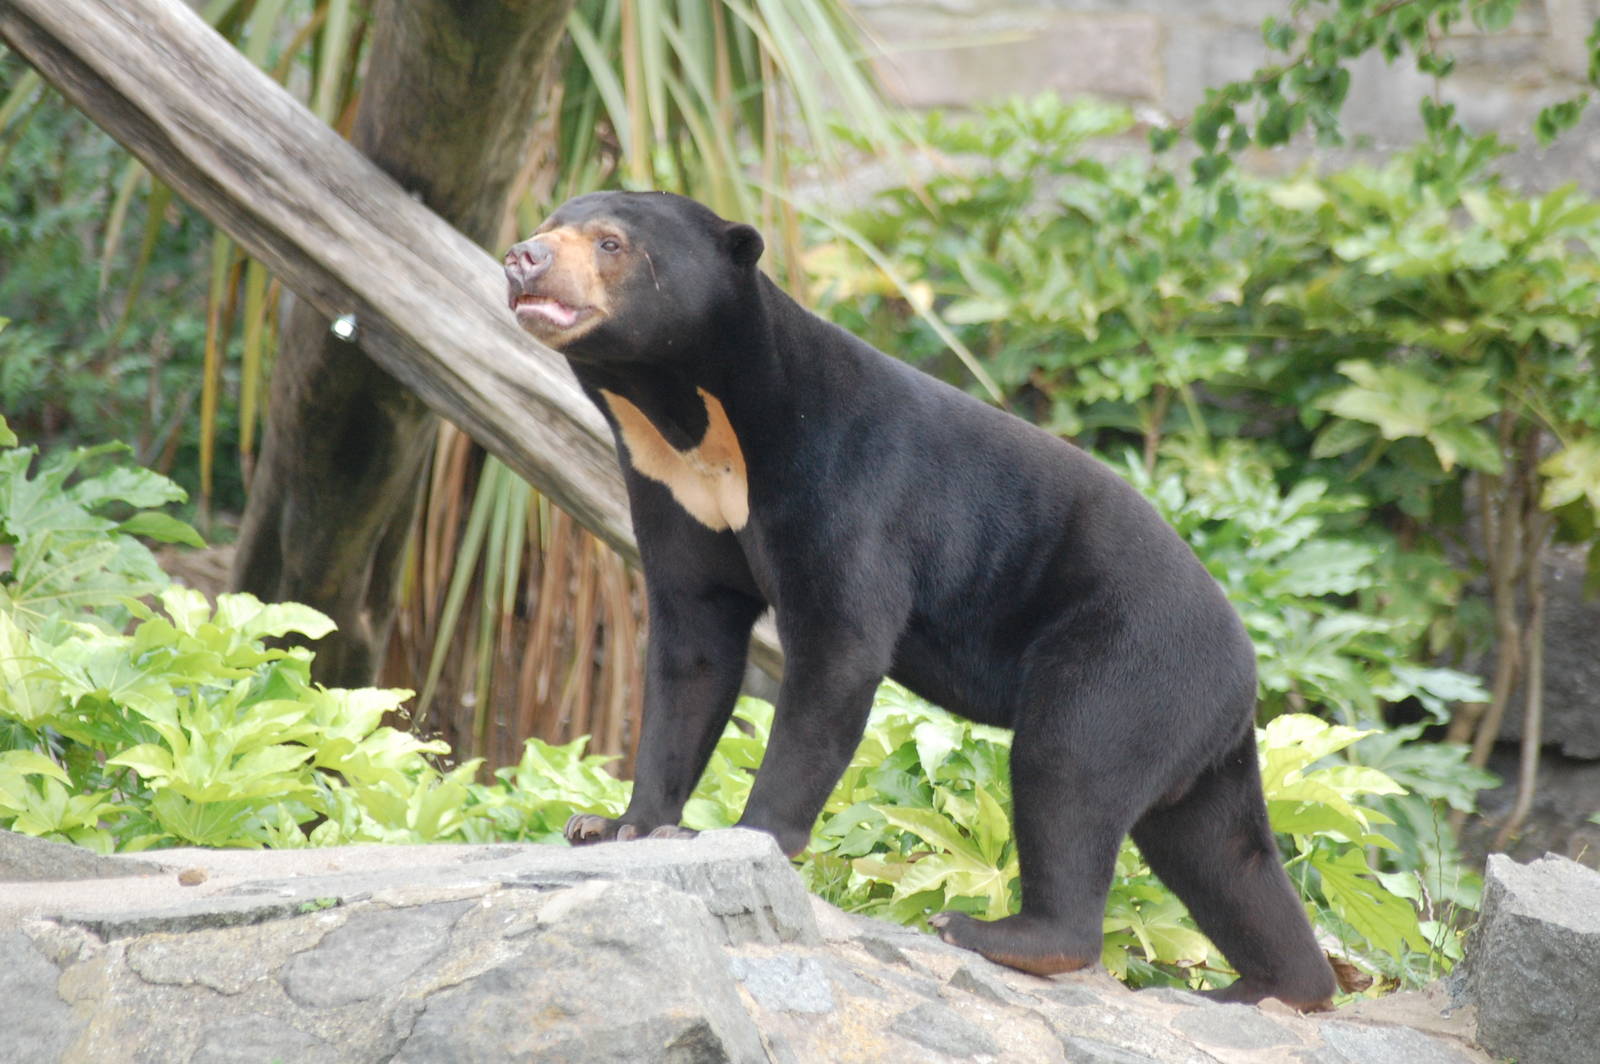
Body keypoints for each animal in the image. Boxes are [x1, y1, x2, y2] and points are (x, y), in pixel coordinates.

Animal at [502, 190, 1338, 1010]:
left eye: (610, 242)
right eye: (548, 222)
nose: (521, 258)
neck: (696, 421)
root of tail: (1244, 673)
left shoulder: (846, 482)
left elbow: (838, 647)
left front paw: (744, 834)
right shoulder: (672, 496)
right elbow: (692, 655)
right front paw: (613, 826)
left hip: (1125, 659)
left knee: (1067, 769)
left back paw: (990, 932)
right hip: (1191, 732)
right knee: (1221, 851)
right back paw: (1275, 987)